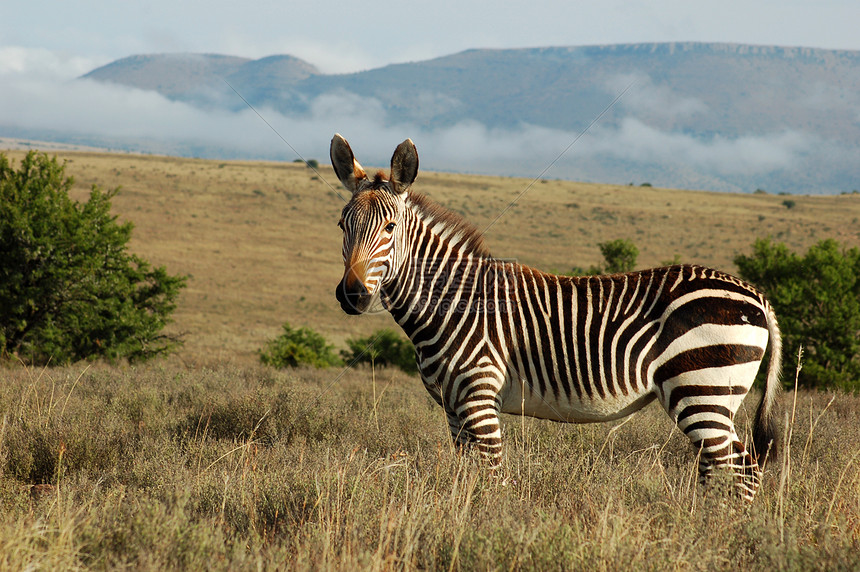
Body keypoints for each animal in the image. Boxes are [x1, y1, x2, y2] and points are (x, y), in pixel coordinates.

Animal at [330, 134, 780, 500]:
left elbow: (492, 479)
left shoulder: (480, 397)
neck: (454, 300)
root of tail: (756, 294)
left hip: (702, 388)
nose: (352, 295)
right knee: (725, 468)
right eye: (341, 225)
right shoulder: (453, 409)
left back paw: (721, 528)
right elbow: (469, 476)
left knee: (739, 468)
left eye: (390, 227)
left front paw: (488, 530)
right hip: (712, 396)